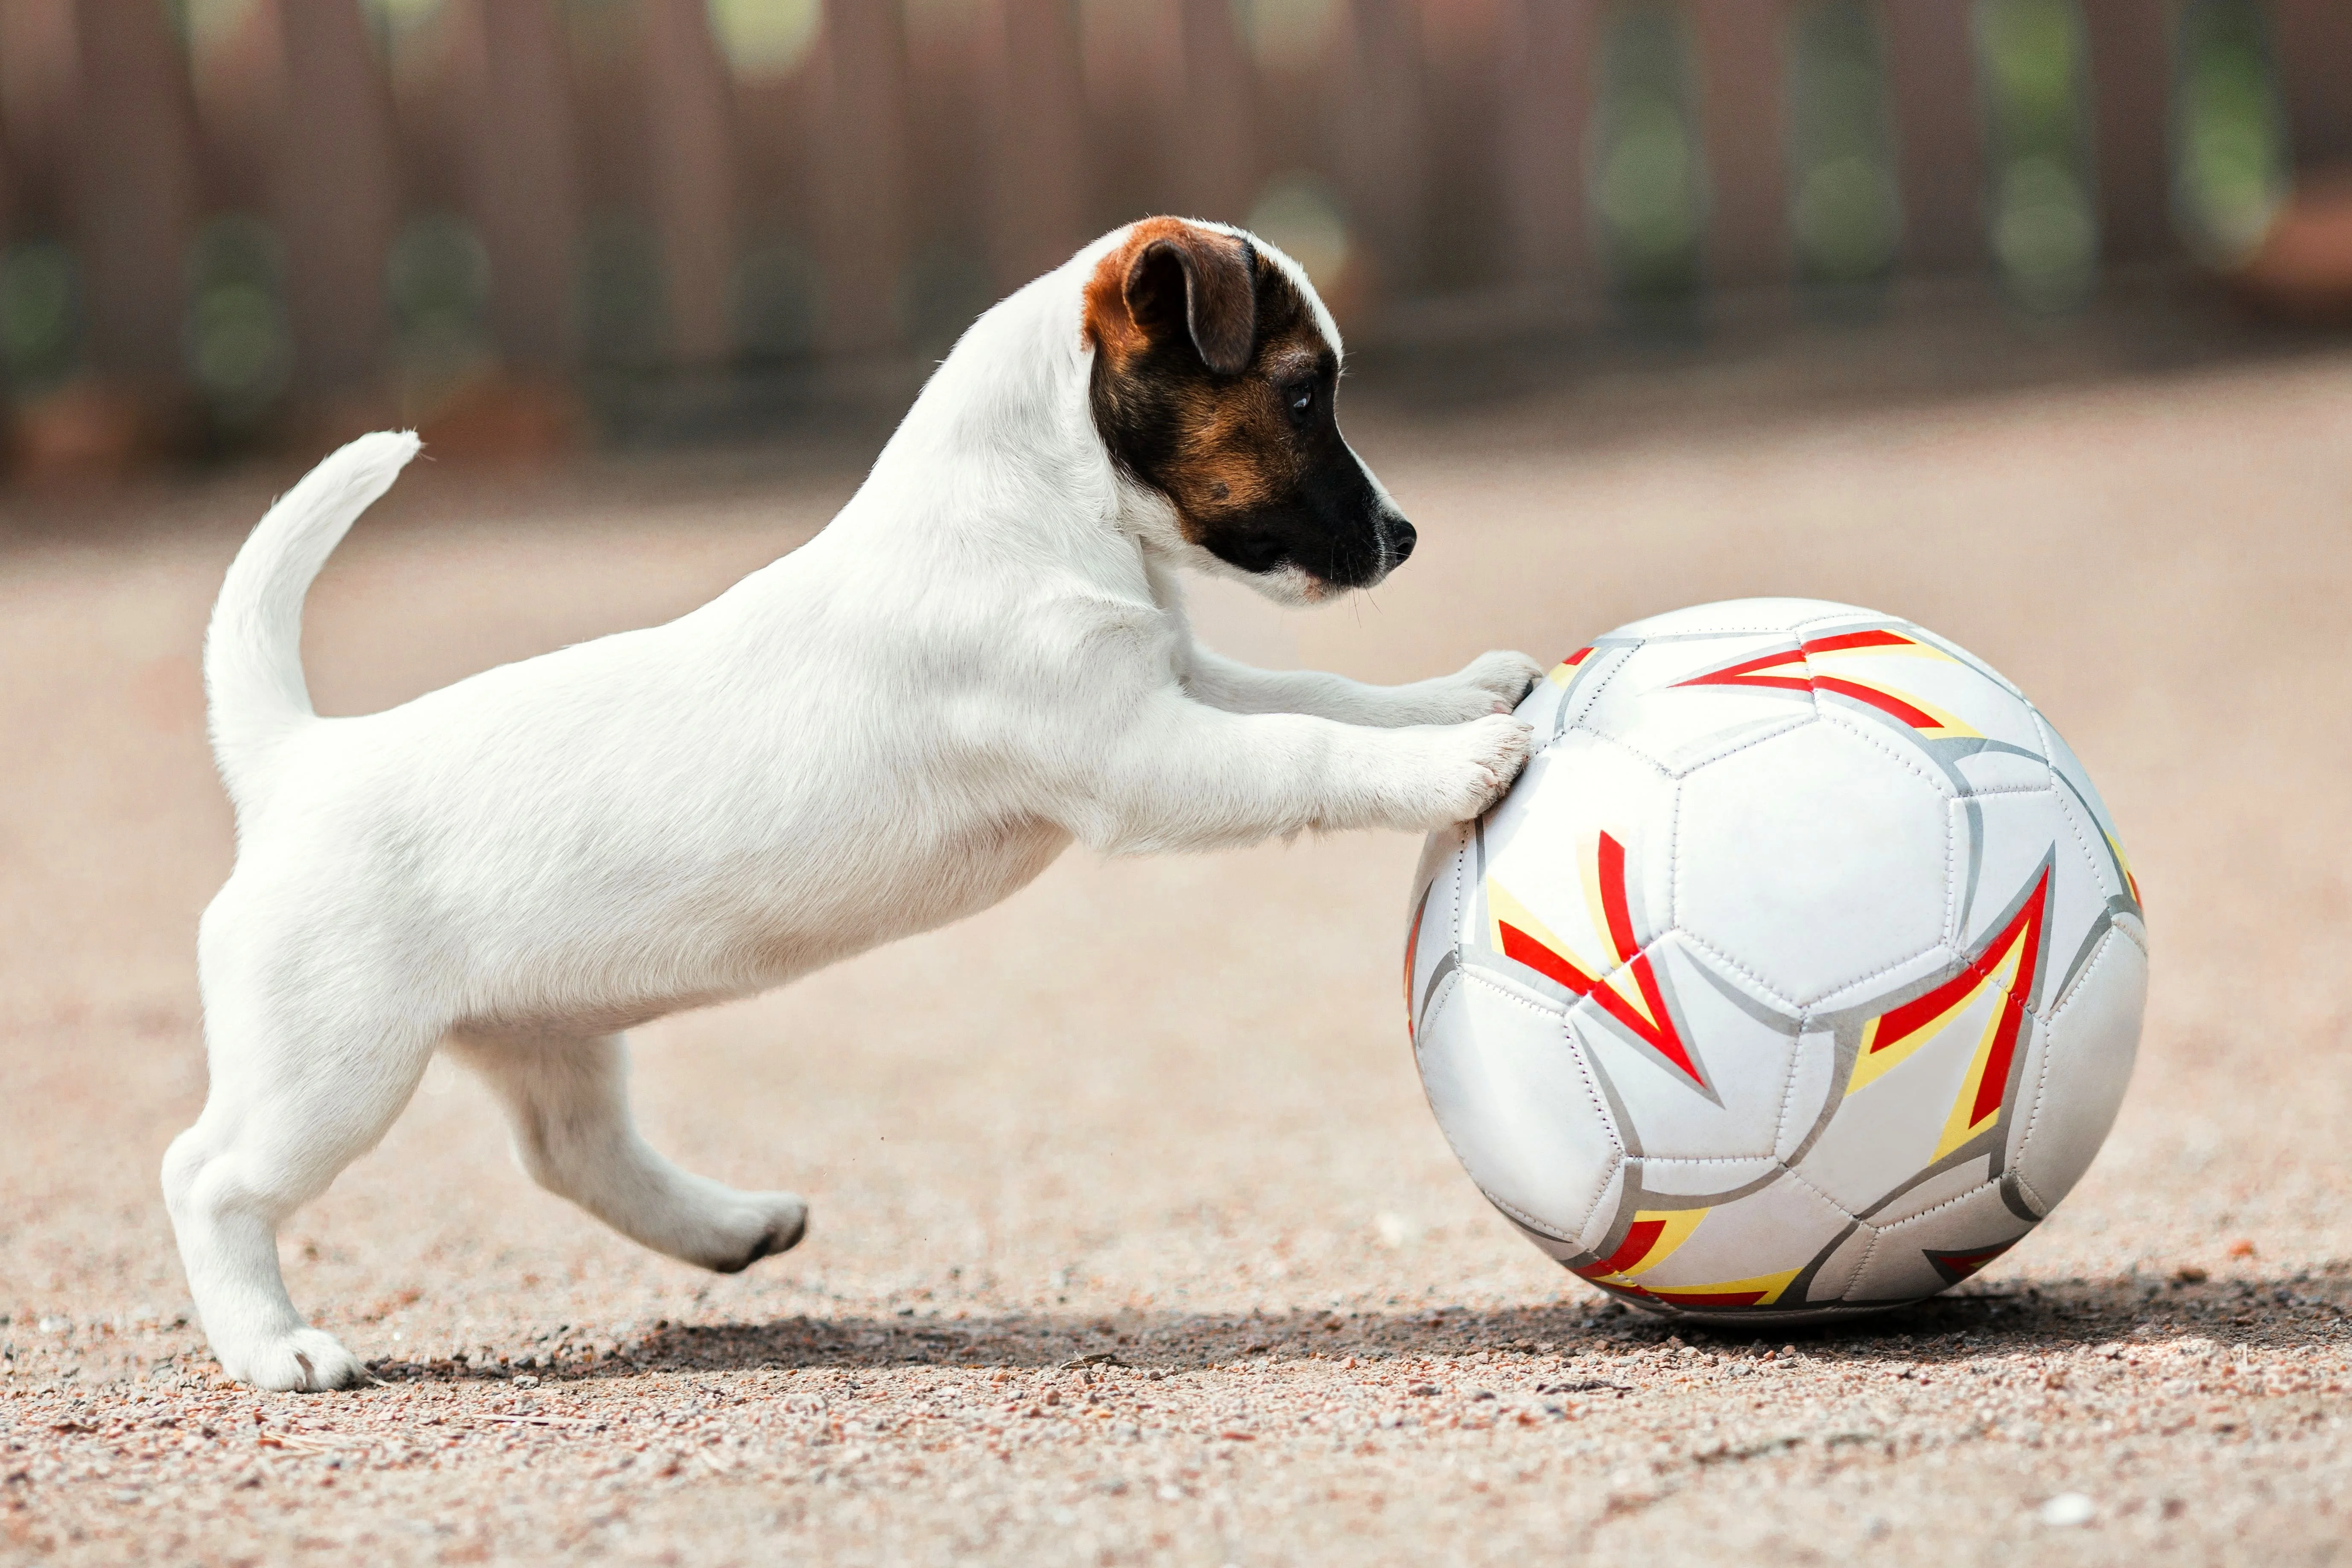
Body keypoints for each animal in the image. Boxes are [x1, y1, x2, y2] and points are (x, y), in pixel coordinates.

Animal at [161, 217, 1543, 1382]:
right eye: (1304, 393)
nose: (1406, 538)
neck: (1027, 511)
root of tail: (294, 760)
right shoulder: (1139, 755)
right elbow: (1308, 749)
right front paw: (1456, 764)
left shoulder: (1183, 684)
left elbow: (1325, 693)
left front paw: (1470, 691)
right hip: (334, 1070)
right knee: (209, 1178)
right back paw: (276, 1348)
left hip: (547, 1028)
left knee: (572, 1151)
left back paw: (728, 1227)